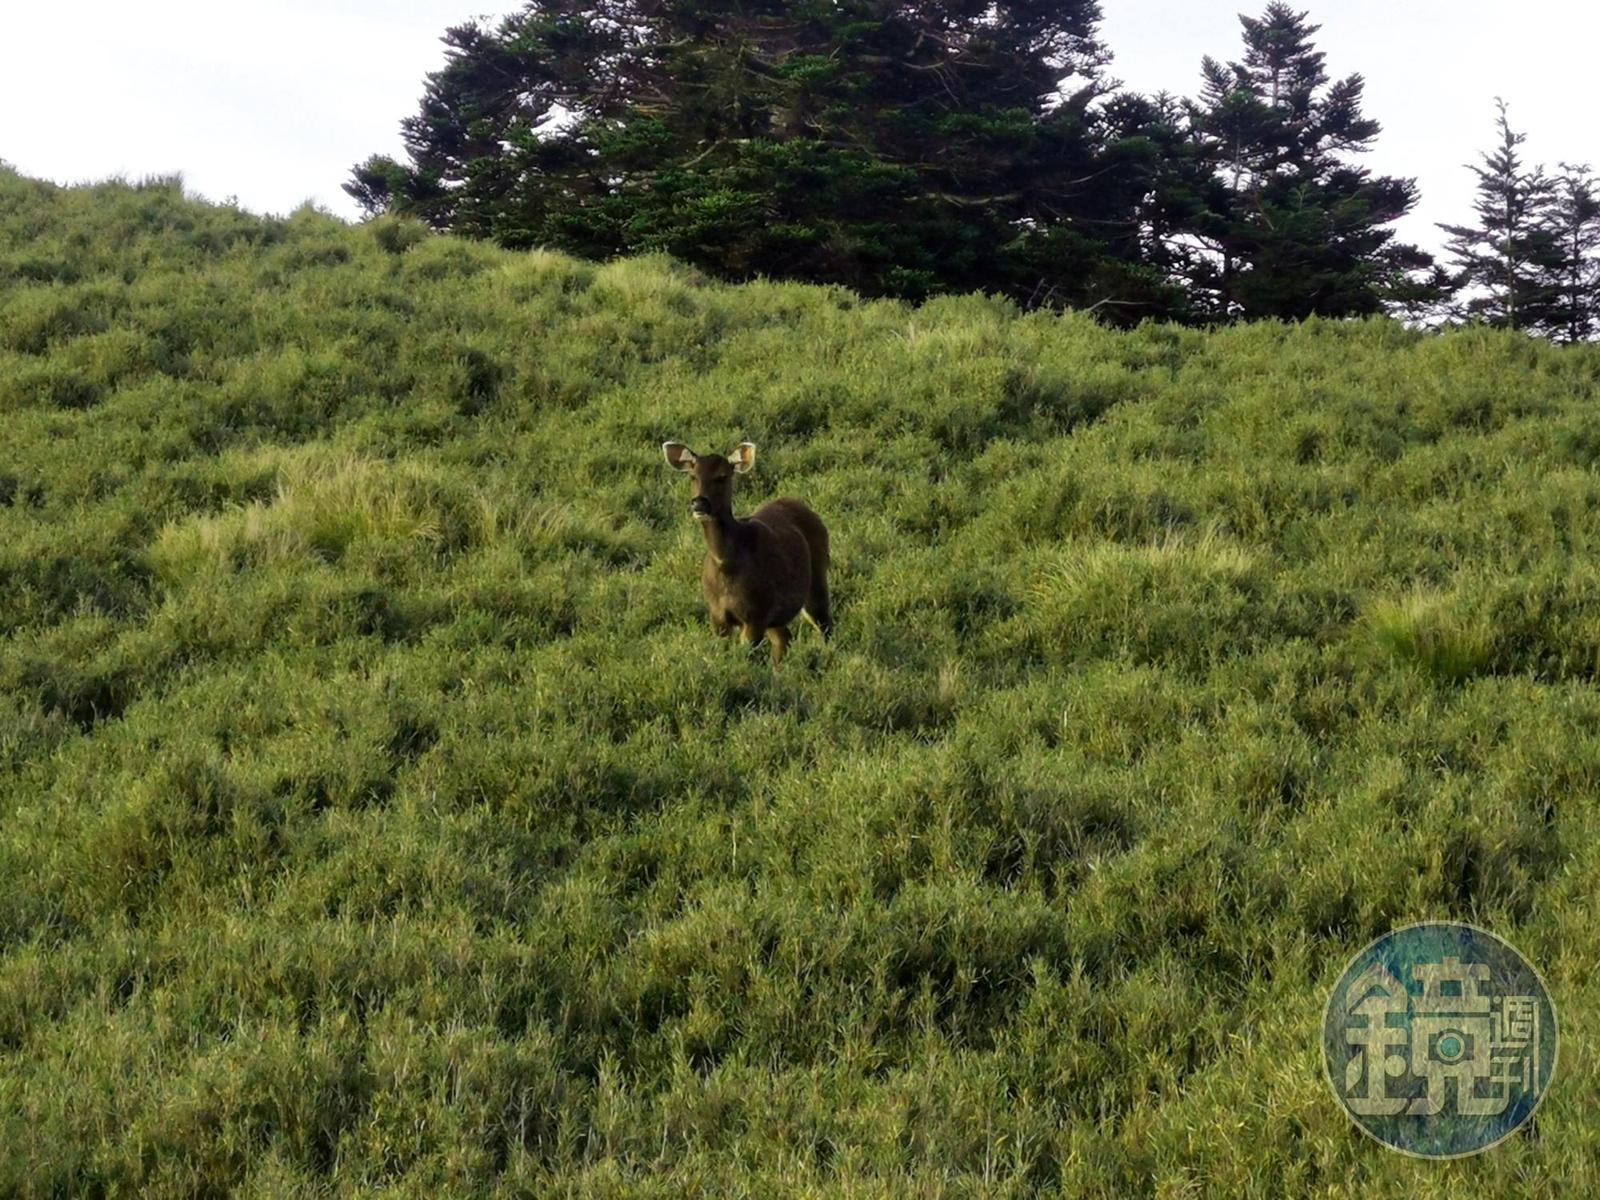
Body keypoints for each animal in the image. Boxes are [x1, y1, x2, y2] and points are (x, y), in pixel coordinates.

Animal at [662, 440, 831, 666]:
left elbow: (747, 658)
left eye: (722, 476)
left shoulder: (755, 614)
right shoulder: (717, 616)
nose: (699, 503)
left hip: (817, 577)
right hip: (776, 613)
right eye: (693, 475)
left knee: (825, 625)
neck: (726, 566)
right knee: (784, 637)